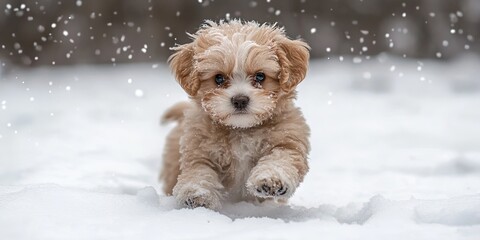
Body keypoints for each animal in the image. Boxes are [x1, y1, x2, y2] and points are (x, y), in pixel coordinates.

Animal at [160, 19, 312, 210]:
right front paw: (196, 194)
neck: (241, 130)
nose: (240, 100)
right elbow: (199, 171)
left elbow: (280, 159)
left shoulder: (288, 140)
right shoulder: (198, 148)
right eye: (218, 78)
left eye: (260, 76)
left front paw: (271, 179)